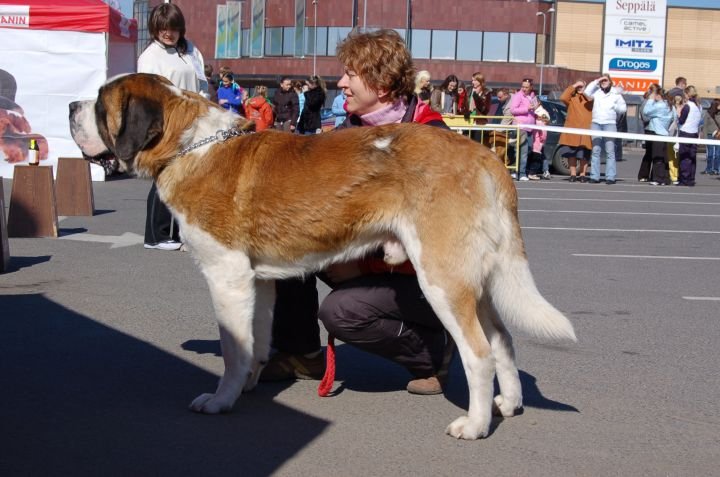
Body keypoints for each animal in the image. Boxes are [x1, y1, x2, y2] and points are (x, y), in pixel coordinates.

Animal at [67, 74, 572, 438]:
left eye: (100, 102)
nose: (71, 106)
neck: (191, 144)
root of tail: (484, 157)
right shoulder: (258, 280)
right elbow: (254, 340)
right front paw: (249, 384)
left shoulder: (226, 274)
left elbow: (231, 346)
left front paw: (220, 400)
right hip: (479, 279)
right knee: (503, 339)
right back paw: (509, 403)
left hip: (442, 278)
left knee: (479, 352)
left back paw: (475, 424)